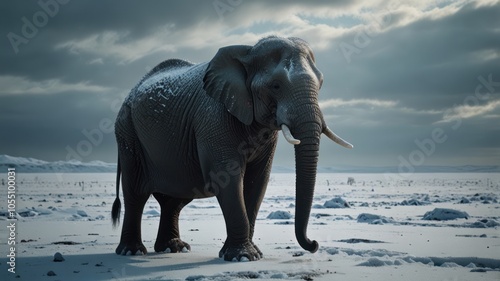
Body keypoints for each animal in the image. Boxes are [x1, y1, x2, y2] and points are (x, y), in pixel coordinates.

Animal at [111, 35, 354, 260]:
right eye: (275, 86)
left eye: (320, 84)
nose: (314, 244)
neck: (249, 51)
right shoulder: (213, 118)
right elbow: (226, 178)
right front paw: (243, 256)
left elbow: (258, 181)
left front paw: (249, 254)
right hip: (127, 131)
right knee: (135, 193)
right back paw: (132, 252)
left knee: (175, 199)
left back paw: (174, 248)